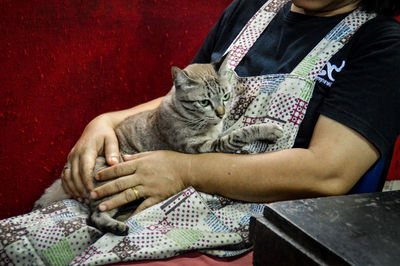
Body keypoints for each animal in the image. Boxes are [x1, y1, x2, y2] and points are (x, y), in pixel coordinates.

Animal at [35, 56, 284, 235]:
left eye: (225, 96)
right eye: (204, 102)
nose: (221, 113)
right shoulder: (199, 147)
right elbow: (237, 135)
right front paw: (269, 129)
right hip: (109, 189)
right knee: (94, 215)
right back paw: (117, 226)